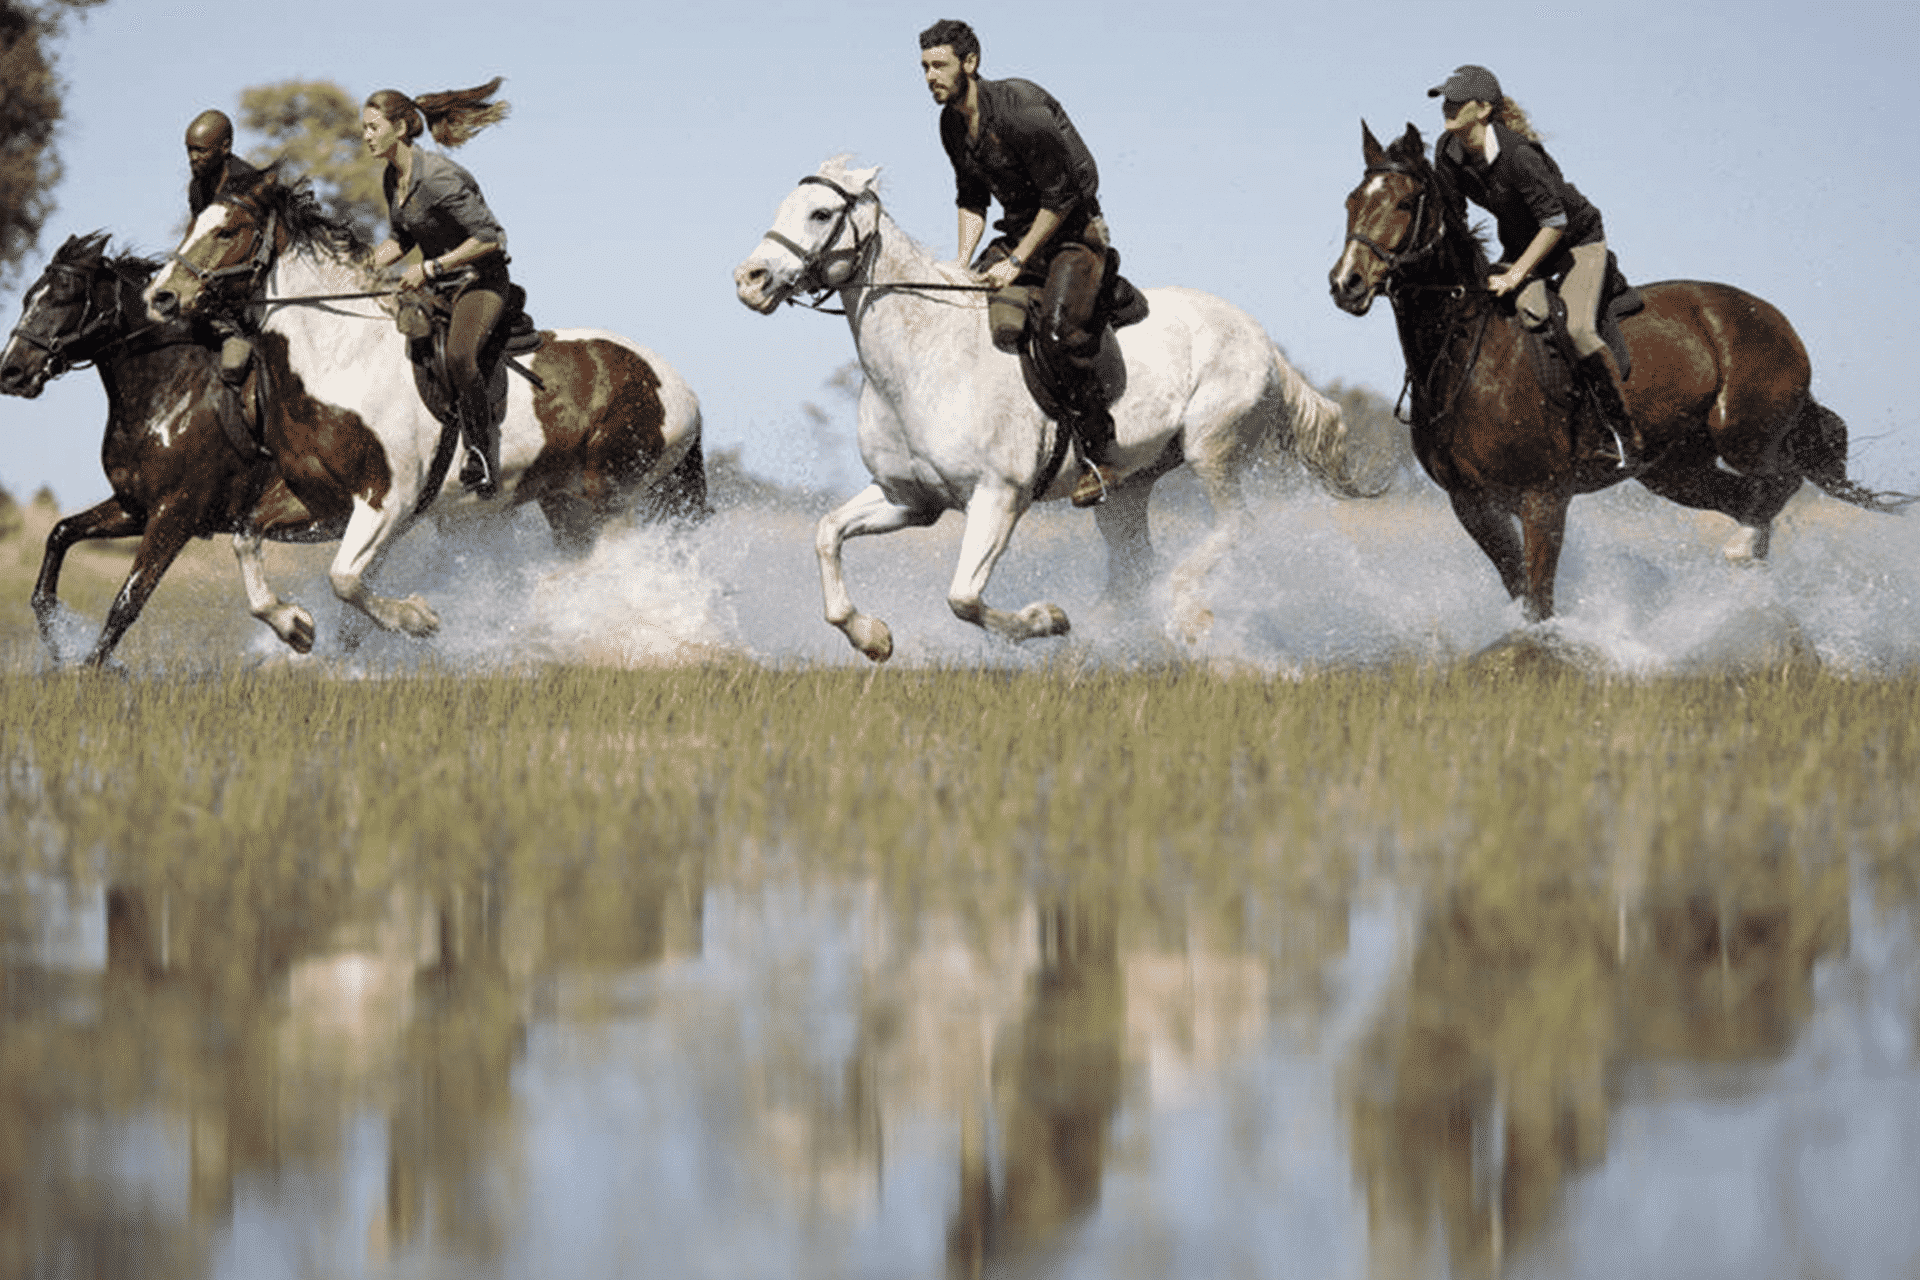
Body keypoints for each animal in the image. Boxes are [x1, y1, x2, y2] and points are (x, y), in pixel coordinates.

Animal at [0, 234, 336, 667]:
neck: (168, 395)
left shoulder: (175, 514)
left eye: (65, 297)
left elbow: (128, 600)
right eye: (28, 297)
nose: (10, 372)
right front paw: (57, 643)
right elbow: (60, 535)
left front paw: (93, 671)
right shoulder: (136, 507)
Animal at [1328, 122, 1912, 621]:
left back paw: (1742, 551)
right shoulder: (1472, 505)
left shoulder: (1543, 497)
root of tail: (1774, 319)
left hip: (1742, 433)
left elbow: (1539, 600)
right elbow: (1520, 591)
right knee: (1748, 497)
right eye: (1352, 202)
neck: (1466, 354)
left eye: (1405, 203)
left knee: (1780, 480)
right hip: (1673, 469)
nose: (1345, 284)